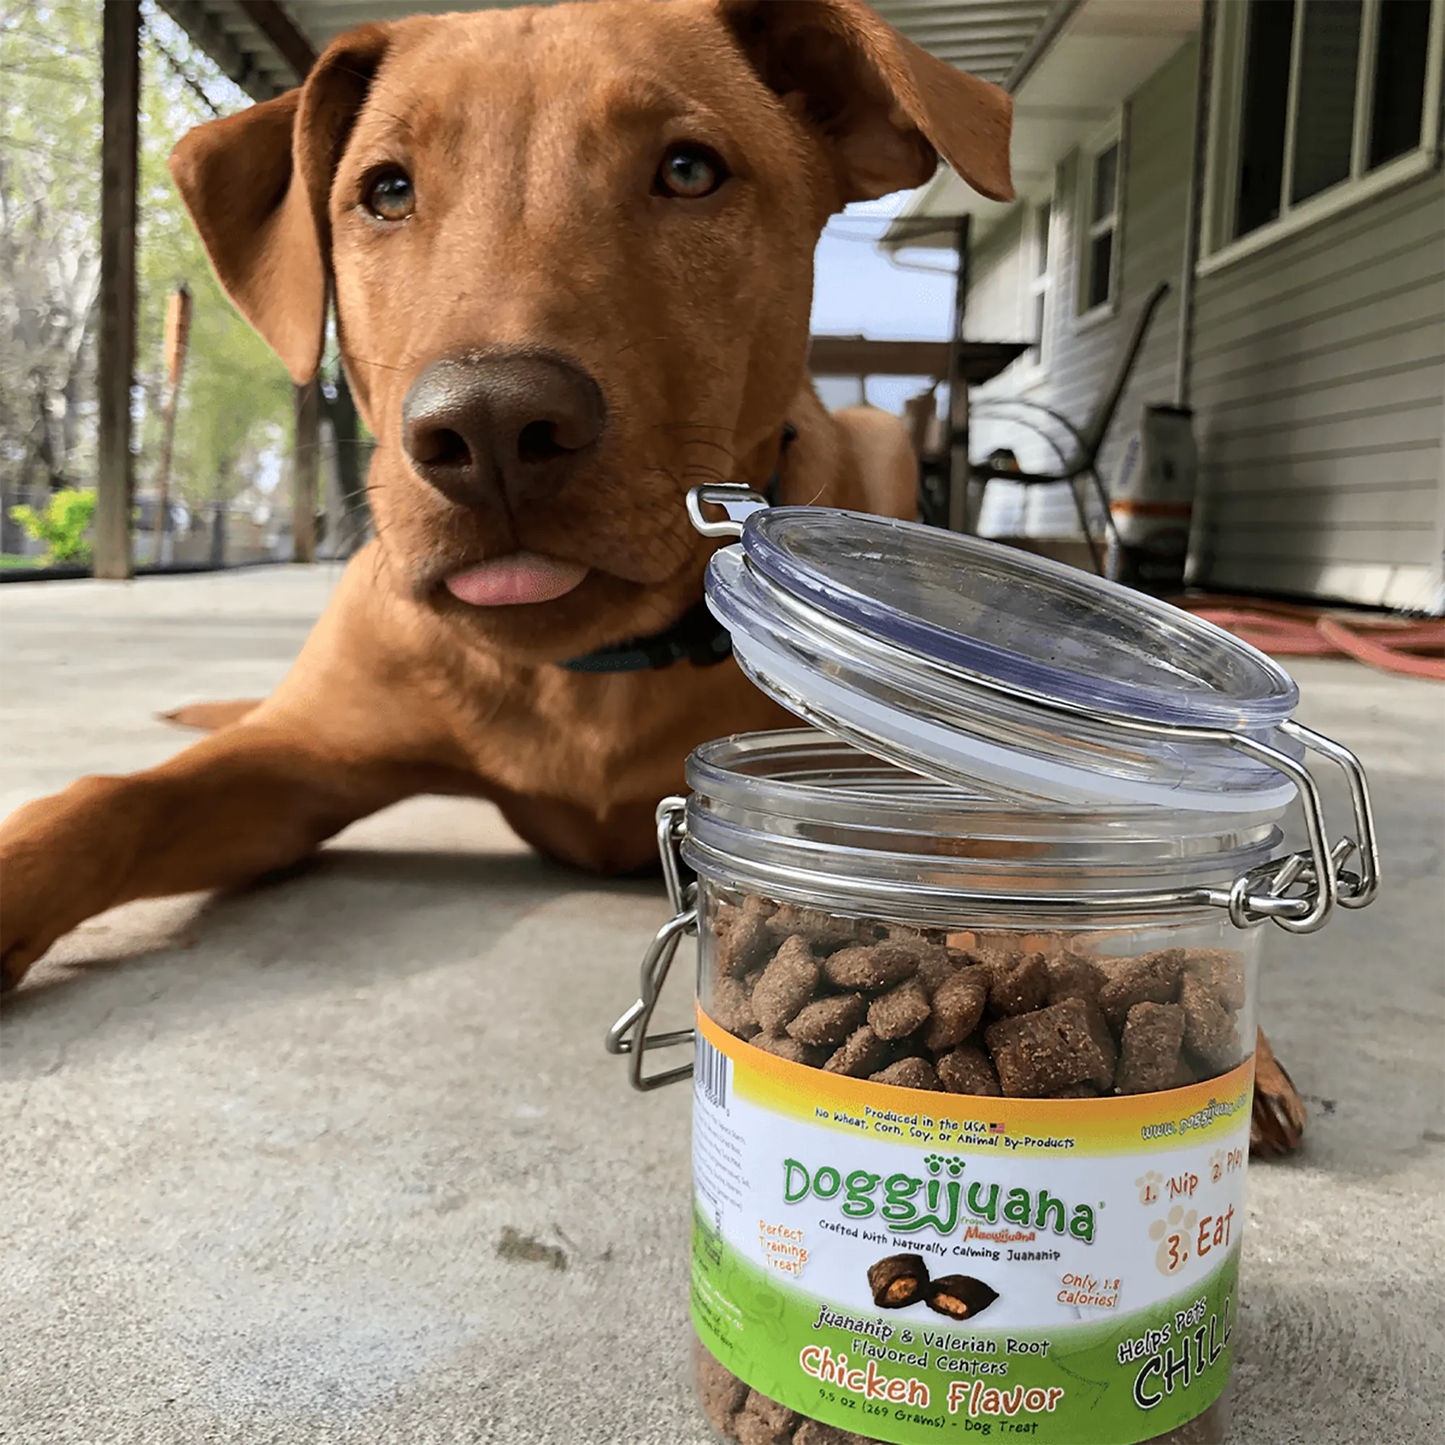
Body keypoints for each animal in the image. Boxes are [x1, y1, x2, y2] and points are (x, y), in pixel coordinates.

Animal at [0, 0, 1017, 994]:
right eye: (387, 191)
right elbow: (111, 795)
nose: (488, 430)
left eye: (688, 170)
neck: (587, 668)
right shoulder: (302, 758)